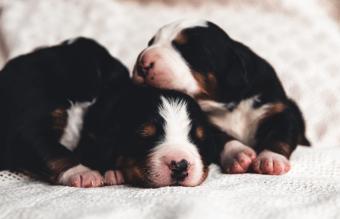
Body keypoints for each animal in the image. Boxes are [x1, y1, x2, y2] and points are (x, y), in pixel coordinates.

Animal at [0, 36, 214, 187]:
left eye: (199, 139)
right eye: (144, 136)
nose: (180, 164)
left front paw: (112, 170)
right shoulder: (29, 120)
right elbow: (53, 150)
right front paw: (82, 173)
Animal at [133, 19, 310, 176]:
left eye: (188, 50)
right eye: (150, 43)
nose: (143, 63)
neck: (227, 104)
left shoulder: (279, 109)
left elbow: (279, 134)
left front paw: (271, 160)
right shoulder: (208, 124)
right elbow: (222, 139)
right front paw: (238, 155)